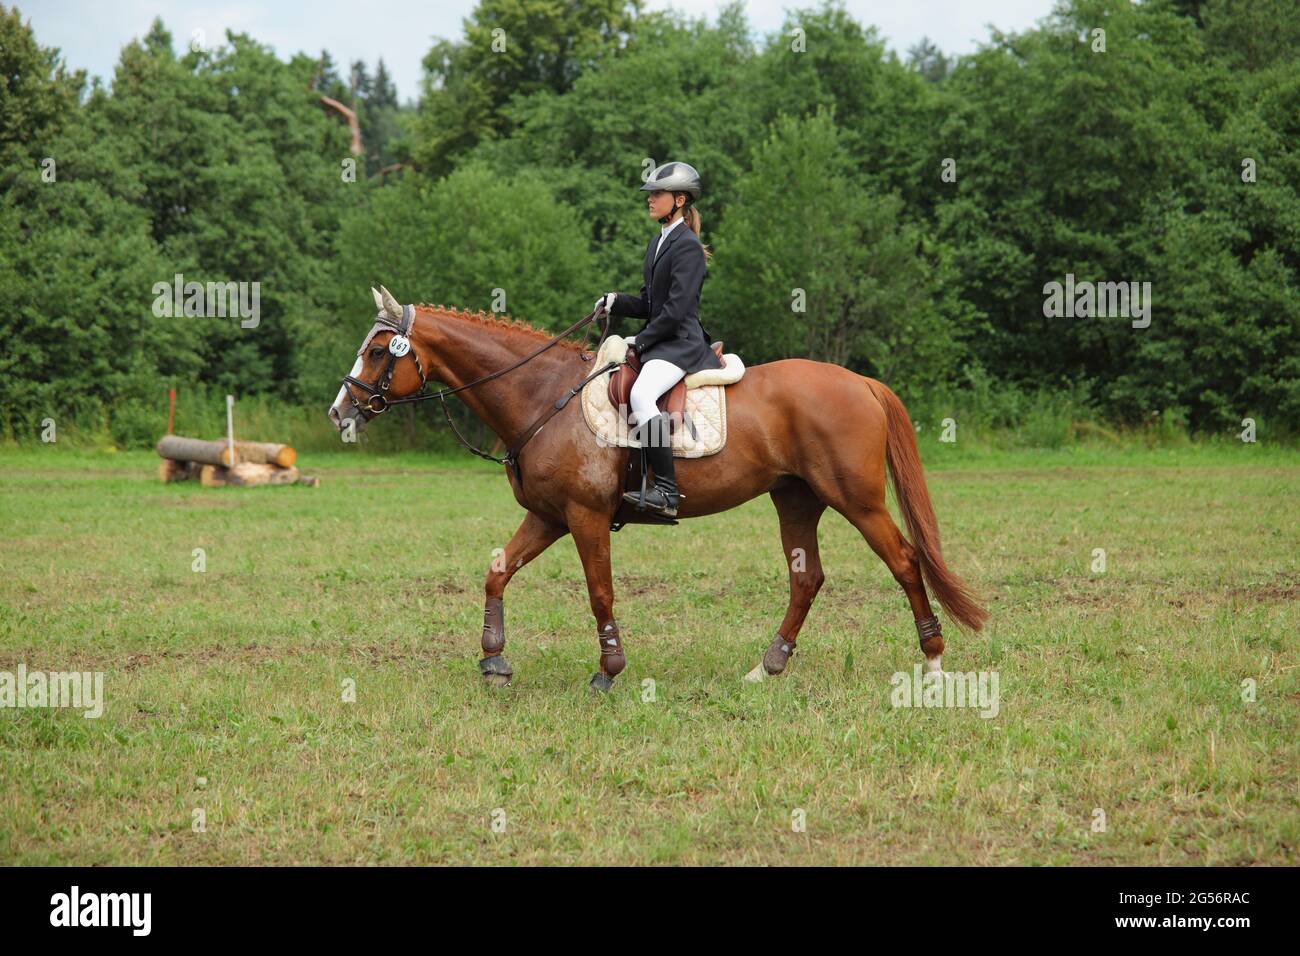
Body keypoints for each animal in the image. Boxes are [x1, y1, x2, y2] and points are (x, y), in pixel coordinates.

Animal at [329, 287, 989, 691]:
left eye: (376, 351)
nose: (340, 414)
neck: (545, 397)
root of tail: (860, 382)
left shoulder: (585, 516)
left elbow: (599, 593)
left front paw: (608, 670)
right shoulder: (549, 516)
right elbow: (496, 571)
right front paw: (494, 659)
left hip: (858, 500)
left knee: (904, 560)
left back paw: (933, 661)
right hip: (796, 498)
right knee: (807, 579)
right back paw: (768, 667)